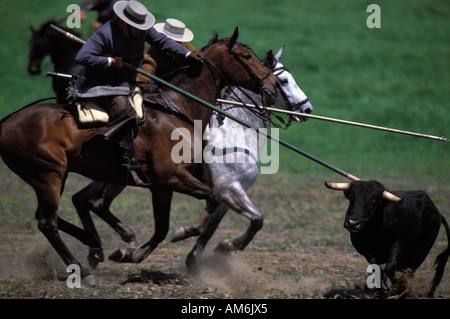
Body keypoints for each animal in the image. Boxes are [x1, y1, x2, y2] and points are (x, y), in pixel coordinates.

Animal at [0, 26, 278, 282]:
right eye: (246, 56)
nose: (273, 85)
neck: (179, 108)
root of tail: (7, 122)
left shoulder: (163, 186)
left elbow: (163, 227)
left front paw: (129, 253)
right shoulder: (172, 178)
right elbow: (207, 203)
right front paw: (187, 232)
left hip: (54, 176)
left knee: (51, 215)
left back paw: (93, 244)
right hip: (48, 175)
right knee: (48, 222)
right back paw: (84, 269)